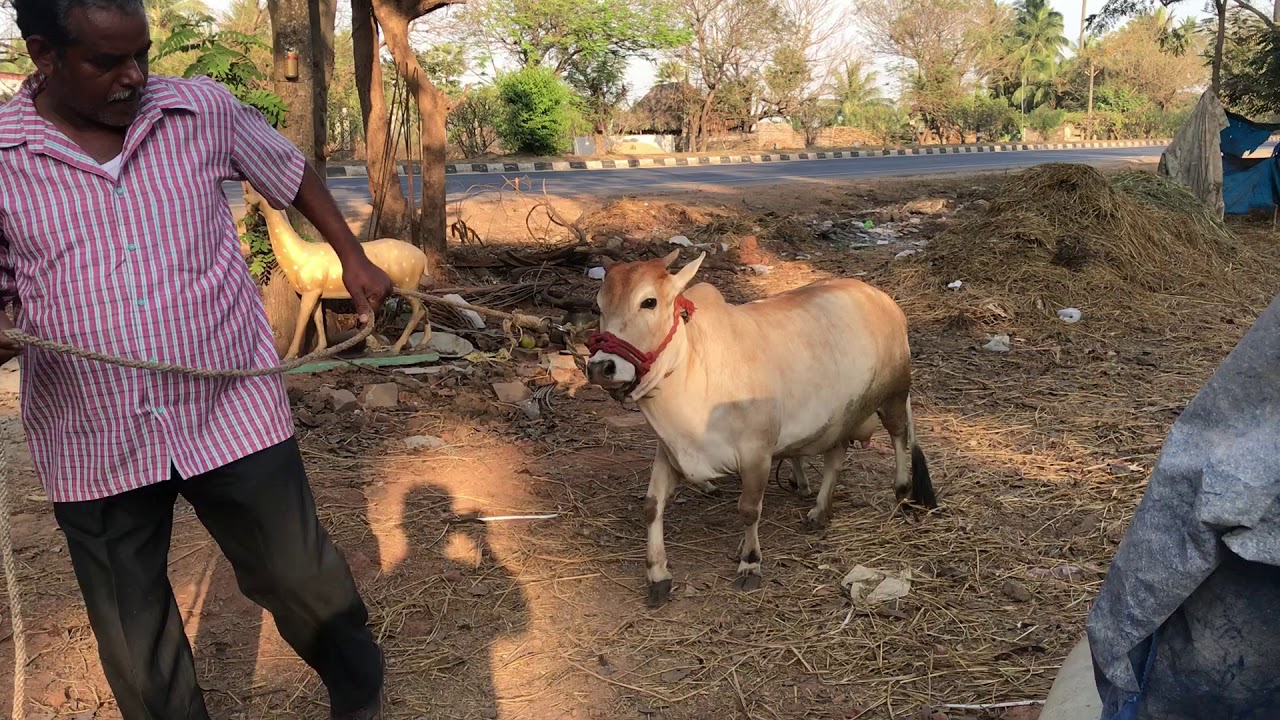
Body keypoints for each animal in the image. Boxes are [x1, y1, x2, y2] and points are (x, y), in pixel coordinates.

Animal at [586, 250, 937, 606]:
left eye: (649, 302)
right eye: (598, 306)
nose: (601, 367)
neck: (696, 366)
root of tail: (883, 299)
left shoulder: (757, 453)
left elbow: (749, 510)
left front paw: (750, 563)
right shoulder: (669, 451)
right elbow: (652, 506)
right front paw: (657, 574)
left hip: (894, 395)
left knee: (899, 438)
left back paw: (902, 491)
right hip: (840, 416)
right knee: (835, 458)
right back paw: (819, 509)